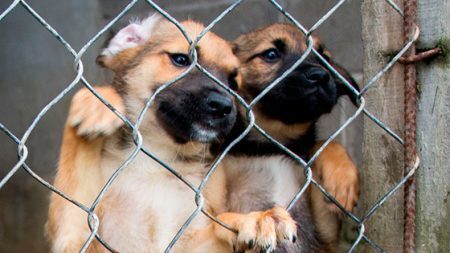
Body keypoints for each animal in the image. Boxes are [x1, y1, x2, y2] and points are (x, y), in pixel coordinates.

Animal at [47, 16, 298, 253]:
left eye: (233, 83)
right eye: (181, 60)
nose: (223, 106)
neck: (155, 158)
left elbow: (218, 225)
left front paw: (257, 218)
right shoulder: (76, 235)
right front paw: (96, 103)